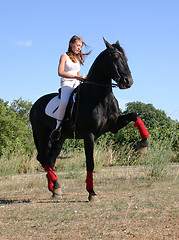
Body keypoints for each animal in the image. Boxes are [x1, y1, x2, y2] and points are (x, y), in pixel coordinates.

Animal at [30, 38, 149, 202]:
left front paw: (143, 144)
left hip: (60, 139)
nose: (128, 81)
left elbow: (135, 116)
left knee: (50, 160)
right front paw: (92, 193)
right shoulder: (89, 135)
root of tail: (35, 105)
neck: (99, 96)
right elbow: (90, 163)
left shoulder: (114, 126)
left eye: (126, 58)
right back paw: (55, 186)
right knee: (43, 158)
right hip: (41, 135)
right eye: (115, 58)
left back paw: (55, 188)